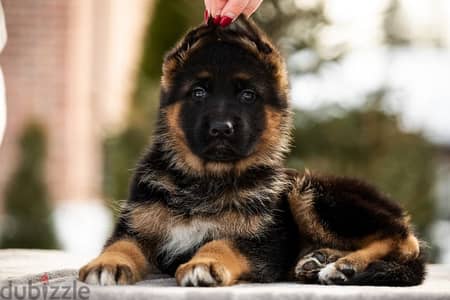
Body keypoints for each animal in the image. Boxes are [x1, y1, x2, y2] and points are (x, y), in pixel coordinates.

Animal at [78, 15, 426, 286]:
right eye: (198, 93)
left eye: (248, 95)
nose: (221, 129)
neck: (206, 180)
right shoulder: (136, 228)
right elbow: (122, 245)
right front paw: (106, 263)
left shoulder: (262, 243)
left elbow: (222, 243)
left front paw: (204, 264)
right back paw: (319, 259)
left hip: (309, 191)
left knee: (404, 240)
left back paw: (344, 266)